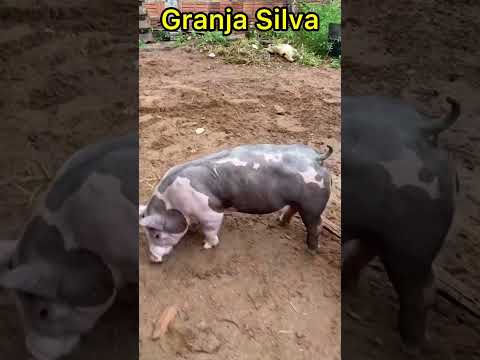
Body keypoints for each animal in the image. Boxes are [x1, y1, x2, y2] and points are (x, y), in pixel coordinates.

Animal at [141, 143, 332, 262]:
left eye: (157, 235)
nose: (152, 259)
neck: (173, 201)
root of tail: (316, 158)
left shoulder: (211, 212)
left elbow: (210, 229)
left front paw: (207, 245)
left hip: (313, 206)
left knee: (316, 226)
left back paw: (311, 251)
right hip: (300, 201)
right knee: (293, 209)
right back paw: (280, 222)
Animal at [344, 96, 460, 354]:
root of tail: (423, 127)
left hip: (410, 247)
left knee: (420, 290)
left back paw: (412, 347)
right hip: (385, 235)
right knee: (364, 252)